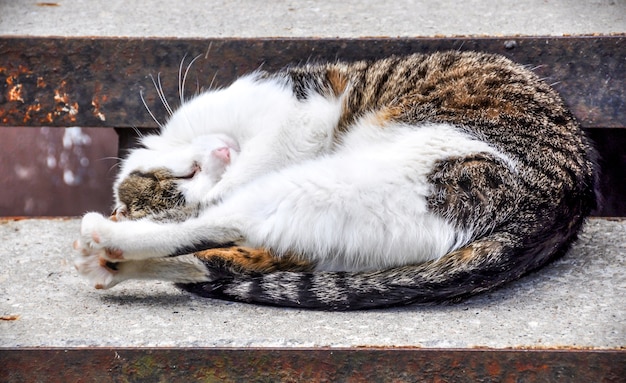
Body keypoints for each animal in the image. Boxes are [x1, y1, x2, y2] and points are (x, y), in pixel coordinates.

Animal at [72, 49, 596, 310]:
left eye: (190, 170)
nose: (221, 154)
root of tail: (560, 209)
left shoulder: (291, 107)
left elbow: (262, 149)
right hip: (354, 217)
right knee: (236, 254)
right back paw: (113, 261)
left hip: (339, 184)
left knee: (225, 224)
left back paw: (110, 240)